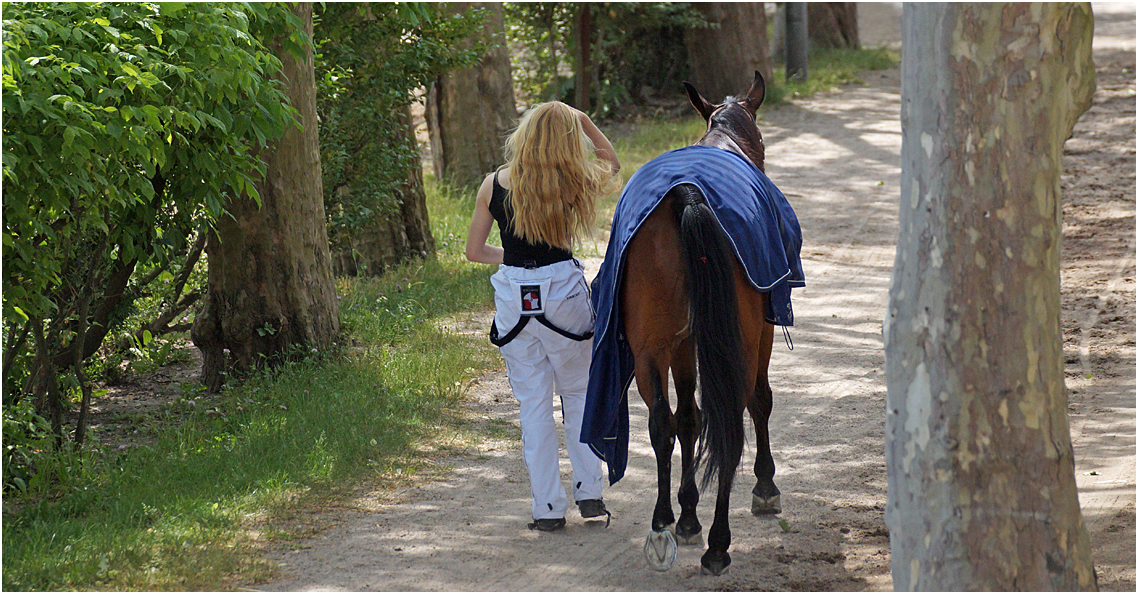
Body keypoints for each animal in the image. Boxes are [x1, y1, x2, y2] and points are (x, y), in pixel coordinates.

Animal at [623, 69, 782, 573]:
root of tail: (688, 194)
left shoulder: (681, 346)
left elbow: (688, 419)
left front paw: (687, 512)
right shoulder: (762, 333)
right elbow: (760, 401)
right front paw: (765, 486)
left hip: (650, 348)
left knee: (662, 423)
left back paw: (664, 521)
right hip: (740, 343)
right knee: (732, 419)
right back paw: (719, 542)